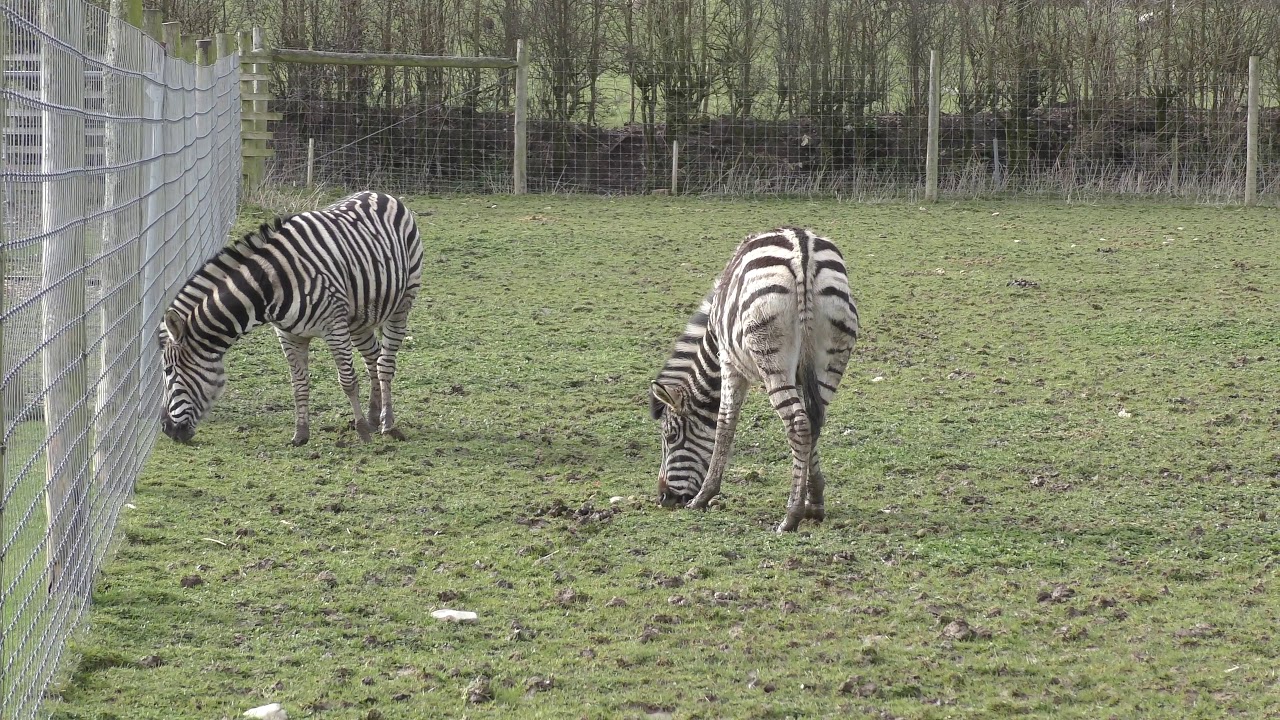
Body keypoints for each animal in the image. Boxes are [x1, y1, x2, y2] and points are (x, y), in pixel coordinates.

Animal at [158, 191, 423, 446]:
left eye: (169, 370)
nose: (166, 429)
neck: (269, 285)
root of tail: (381, 194)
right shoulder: (288, 334)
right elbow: (299, 384)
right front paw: (301, 434)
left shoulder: (334, 327)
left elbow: (347, 381)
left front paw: (362, 432)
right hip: (359, 319)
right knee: (373, 357)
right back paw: (373, 416)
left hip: (402, 303)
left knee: (385, 363)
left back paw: (387, 424)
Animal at [649, 227, 859, 532]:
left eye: (671, 436)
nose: (664, 498)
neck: (712, 338)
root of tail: (803, 253)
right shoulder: (800, 374)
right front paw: (815, 497)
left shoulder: (728, 362)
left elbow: (725, 424)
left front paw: (704, 496)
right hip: (831, 352)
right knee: (812, 422)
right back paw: (812, 504)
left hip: (770, 352)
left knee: (798, 425)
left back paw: (790, 516)